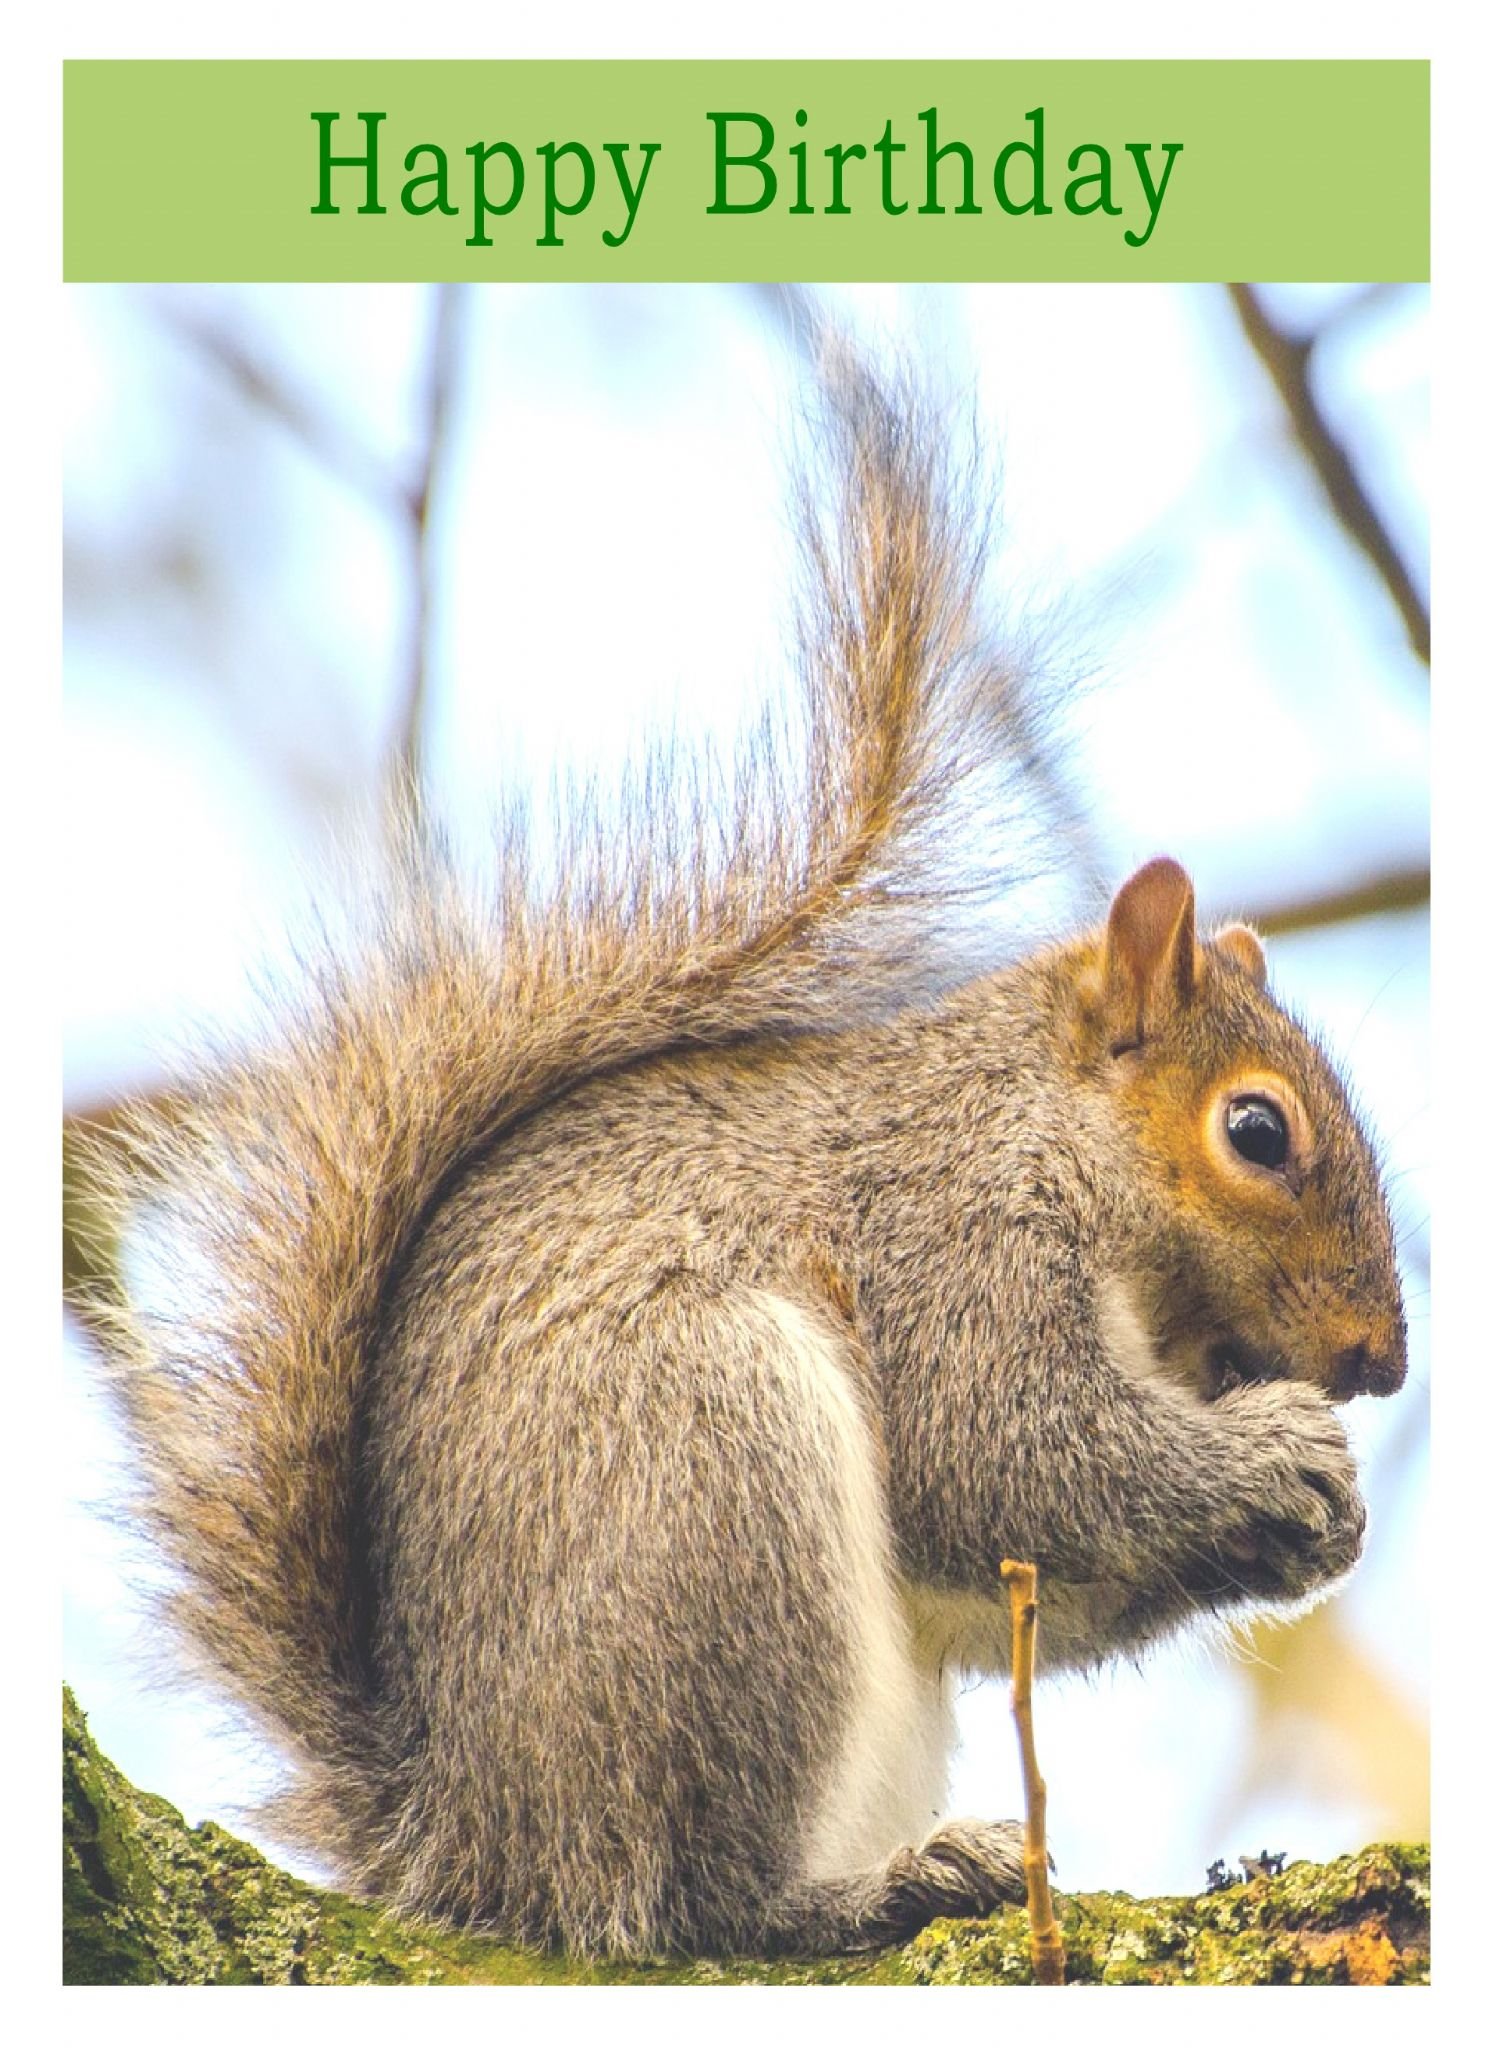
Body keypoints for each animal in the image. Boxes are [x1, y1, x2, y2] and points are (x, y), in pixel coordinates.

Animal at [88, 348, 1408, 1961]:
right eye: (1257, 1131)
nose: (1382, 1361)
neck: (1051, 1135)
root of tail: (471, 1837)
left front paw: (1317, 1516)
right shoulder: (948, 1232)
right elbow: (1009, 1453)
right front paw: (1279, 1455)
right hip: (714, 1482)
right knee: (692, 1898)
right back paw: (869, 1887)